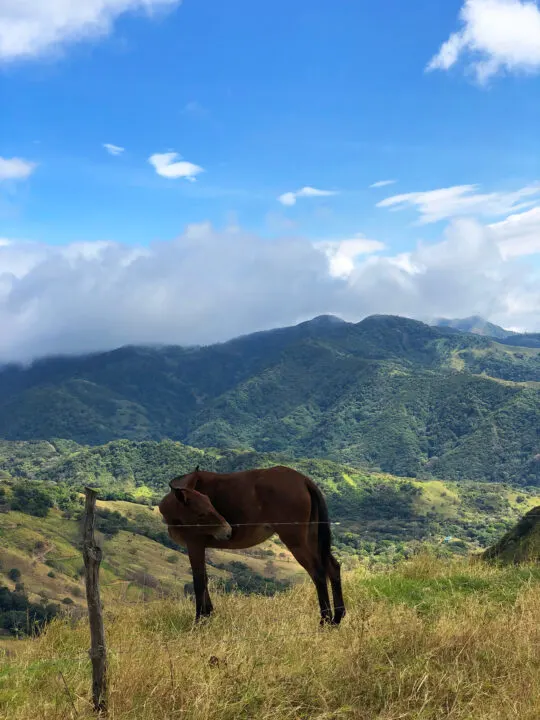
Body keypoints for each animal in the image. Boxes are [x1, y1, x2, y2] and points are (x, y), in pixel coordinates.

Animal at [158, 466, 346, 624]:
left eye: (210, 505)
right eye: (201, 513)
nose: (228, 531)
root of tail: (304, 480)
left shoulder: (194, 544)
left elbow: (198, 581)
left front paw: (199, 620)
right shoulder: (200, 547)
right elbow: (204, 578)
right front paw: (208, 614)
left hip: (296, 541)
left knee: (318, 573)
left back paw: (325, 620)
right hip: (312, 537)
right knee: (332, 567)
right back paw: (337, 618)